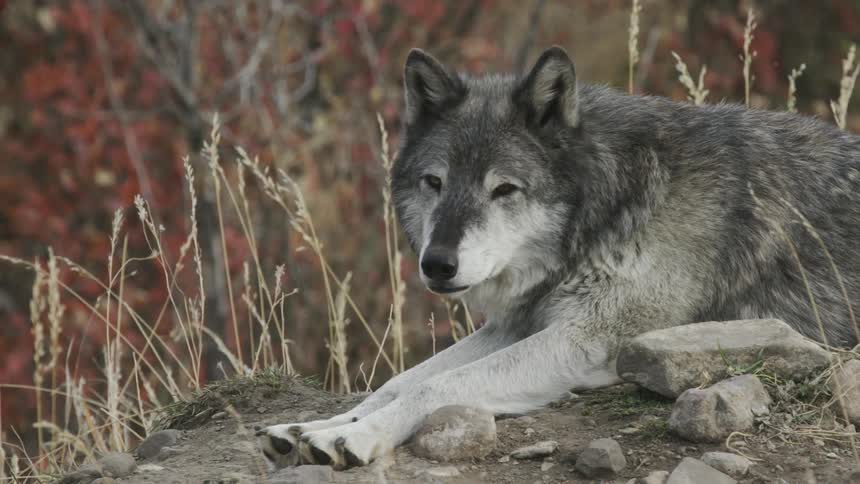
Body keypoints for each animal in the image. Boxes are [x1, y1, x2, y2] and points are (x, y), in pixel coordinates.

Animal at [258, 46, 860, 469]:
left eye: (504, 189)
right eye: (435, 182)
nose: (437, 264)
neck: (612, 204)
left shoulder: (590, 340)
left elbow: (436, 385)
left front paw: (356, 434)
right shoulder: (518, 323)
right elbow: (400, 380)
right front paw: (313, 428)